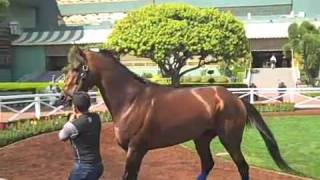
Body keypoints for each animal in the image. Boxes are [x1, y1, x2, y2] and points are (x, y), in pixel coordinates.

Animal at [61, 47, 296, 180]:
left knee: (243, 167)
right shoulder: (134, 151)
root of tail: (237, 99)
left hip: (229, 139)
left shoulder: (135, 150)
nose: (64, 96)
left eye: (78, 68)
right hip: (201, 139)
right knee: (208, 164)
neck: (131, 100)